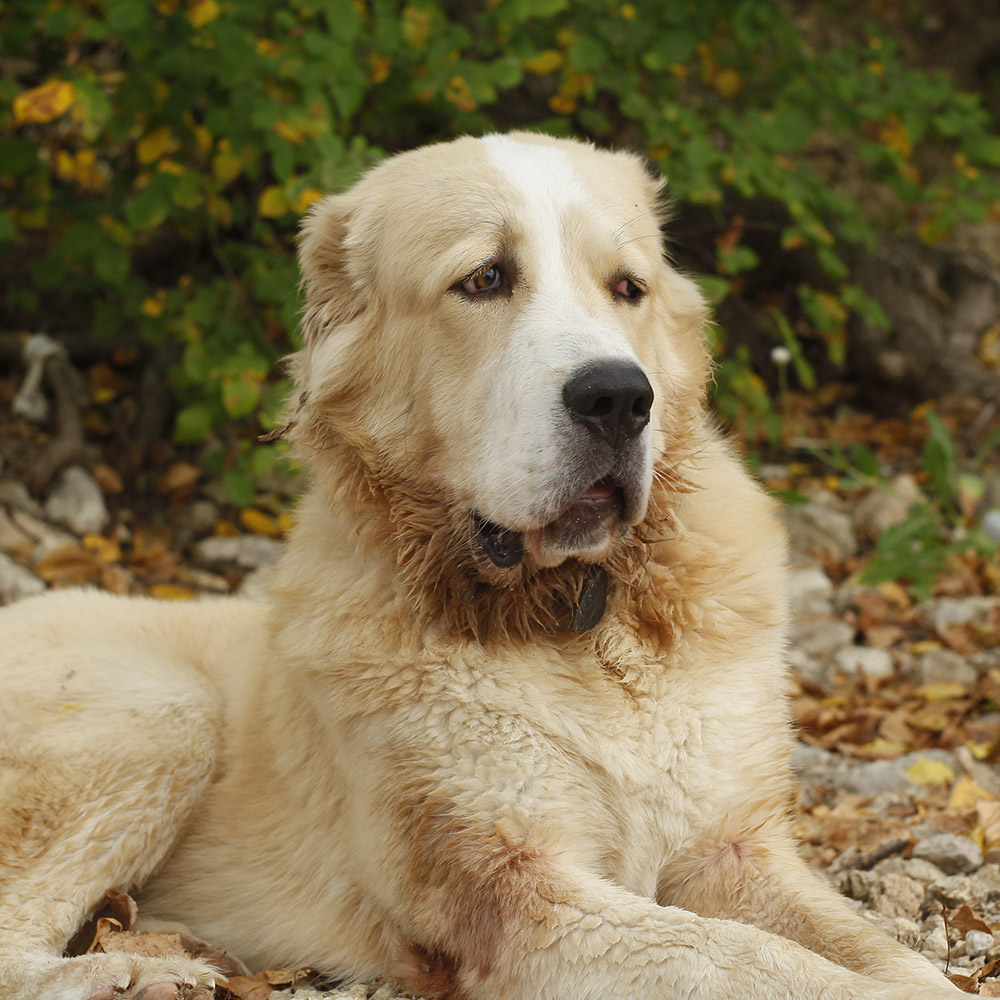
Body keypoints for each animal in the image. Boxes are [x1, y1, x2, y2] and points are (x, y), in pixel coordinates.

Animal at [1, 135, 968, 1000]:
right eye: (486, 280)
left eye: (628, 289)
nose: (619, 396)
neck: (581, 616)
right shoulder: (512, 889)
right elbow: (746, 960)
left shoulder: (733, 850)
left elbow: (876, 951)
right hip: (164, 716)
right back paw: (130, 974)